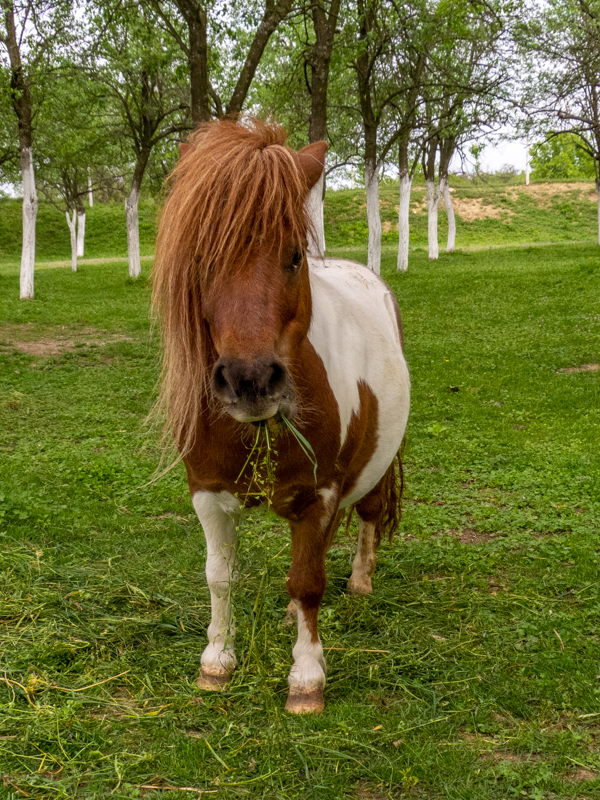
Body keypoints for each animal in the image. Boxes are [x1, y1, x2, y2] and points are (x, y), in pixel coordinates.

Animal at [152, 118, 410, 714]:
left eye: (293, 257)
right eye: (203, 260)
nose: (250, 381)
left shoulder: (318, 493)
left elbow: (309, 580)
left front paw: (306, 678)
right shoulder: (207, 493)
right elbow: (220, 578)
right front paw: (216, 662)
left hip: (371, 467)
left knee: (365, 517)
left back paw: (360, 580)